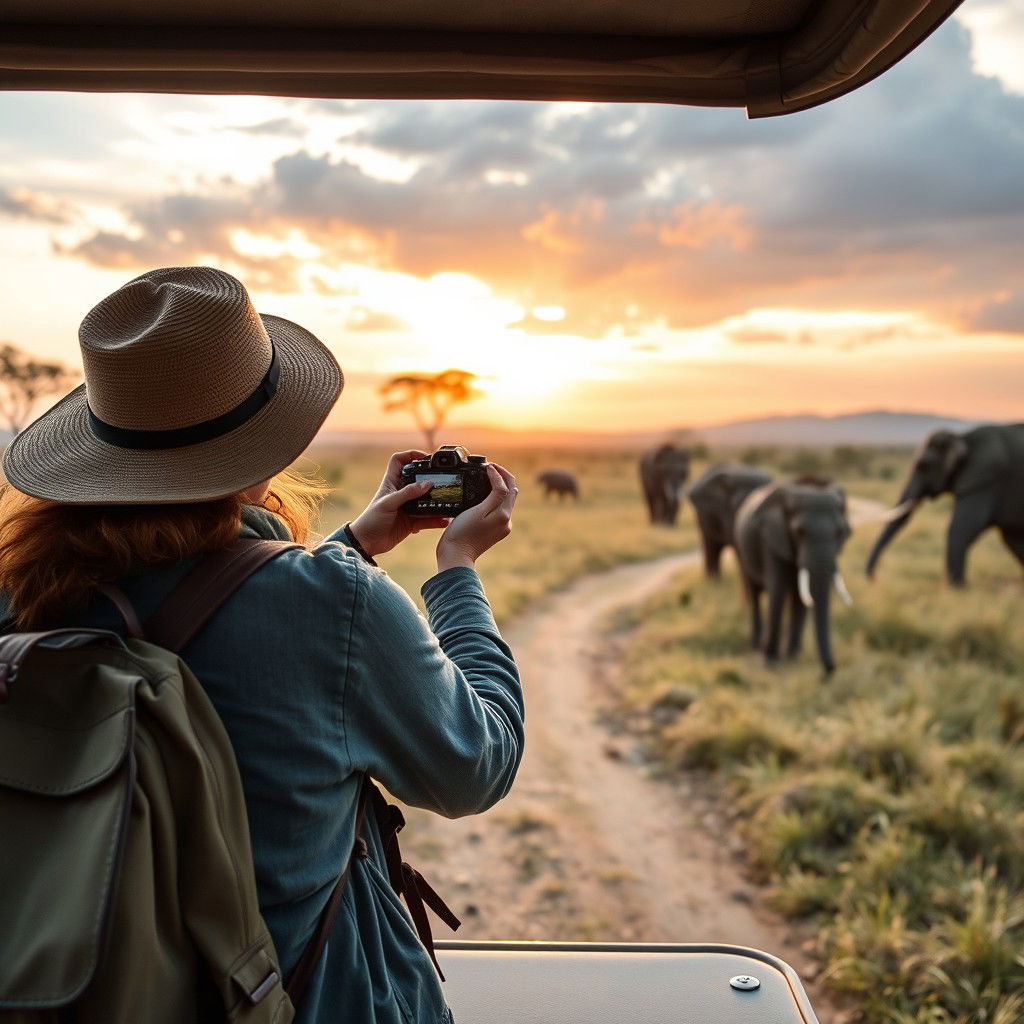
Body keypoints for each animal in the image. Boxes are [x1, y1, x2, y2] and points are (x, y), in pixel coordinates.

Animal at [733, 477, 851, 675]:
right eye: (799, 532)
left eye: (839, 532)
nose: (831, 669)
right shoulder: (773, 539)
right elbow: (778, 591)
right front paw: (769, 661)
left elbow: (799, 598)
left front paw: (793, 657)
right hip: (742, 548)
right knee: (753, 592)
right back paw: (756, 645)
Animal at [864, 423, 1024, 585]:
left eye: (923, 466)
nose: (874, 579)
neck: (962, 439)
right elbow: (1012, 539)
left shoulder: (984, 480)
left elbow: (961, 528)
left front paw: (958, 588)